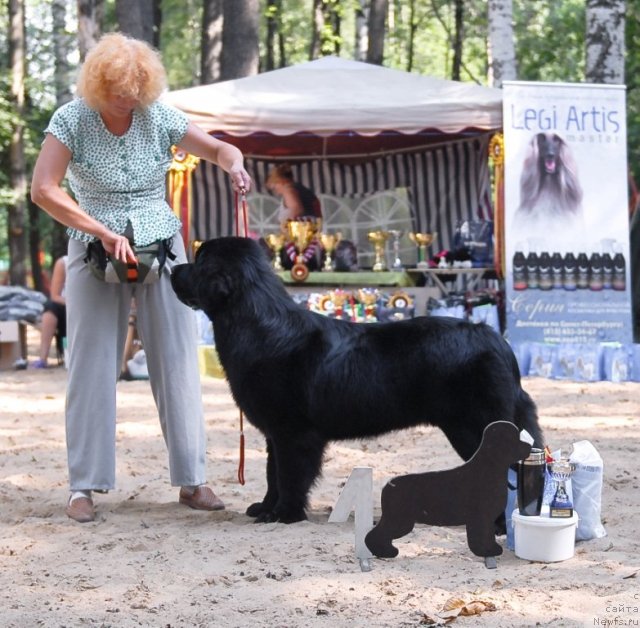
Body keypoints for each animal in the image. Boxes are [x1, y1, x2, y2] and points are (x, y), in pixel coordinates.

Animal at [172, 238, 544, 524]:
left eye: (199, 260)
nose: (172, 268)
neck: (259, 326)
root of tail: (496, 340)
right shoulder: (274, 434)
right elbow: (271, 473)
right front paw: (265, 507)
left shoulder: (294, 433)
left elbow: (290, 475)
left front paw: (283, 514)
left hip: (475, 425)